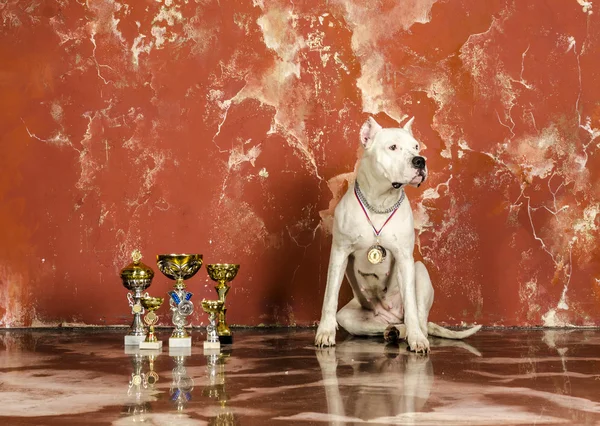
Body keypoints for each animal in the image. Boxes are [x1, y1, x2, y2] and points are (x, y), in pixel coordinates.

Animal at [314, 117, 482, 352]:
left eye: (416, 147)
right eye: (392, 147)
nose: (420, 161)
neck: (379, 204)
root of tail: (390, 315)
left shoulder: (404, 258)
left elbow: (411, 305)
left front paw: (416, 339)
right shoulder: (339, 252)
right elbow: (329, 297)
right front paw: (325, 332)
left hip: (420, 271)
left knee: (419, 321)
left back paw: (412, 333)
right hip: (349, 316)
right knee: (380, 325)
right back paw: (393, 331)